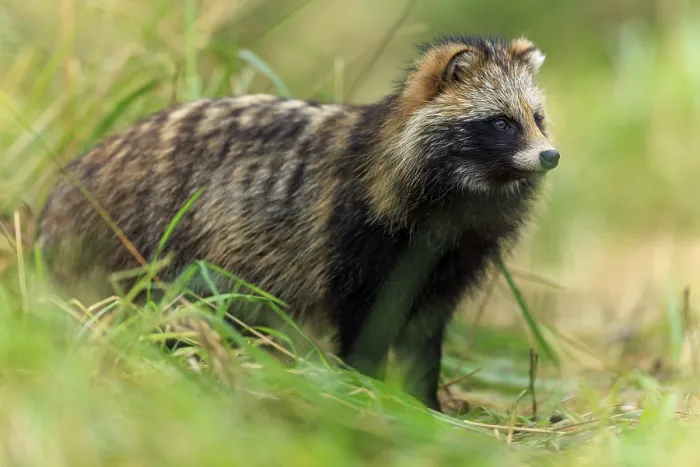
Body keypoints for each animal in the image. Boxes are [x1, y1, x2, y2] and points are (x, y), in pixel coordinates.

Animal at [37, 35, 560, 412]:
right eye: (501, 122)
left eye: (537, 118)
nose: (550, 156)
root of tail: (63, 191)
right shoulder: (355, 236)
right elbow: (363, 321)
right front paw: (365, 386)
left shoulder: (453, 259)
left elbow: (425, 331)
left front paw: (425, 400)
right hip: (148, 240)